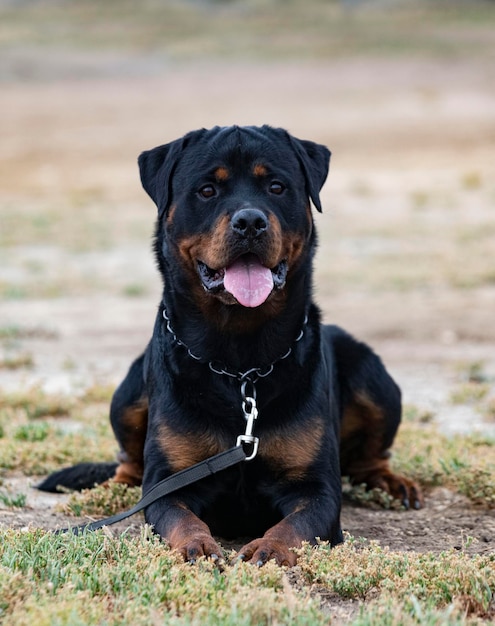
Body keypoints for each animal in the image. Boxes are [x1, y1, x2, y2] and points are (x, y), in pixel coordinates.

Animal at [40, 124, 424, 564]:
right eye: (207, 190)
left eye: (276, 186)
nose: (250, 221)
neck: (241, 363)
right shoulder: (170, 482)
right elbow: (177, 514)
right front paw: (197, 545)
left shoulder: (317, 489)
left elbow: (296, 525)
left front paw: (271, 548)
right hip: (129, 394)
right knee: (129, 465)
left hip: (373, 377)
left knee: (371, 455)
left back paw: (390, 482)